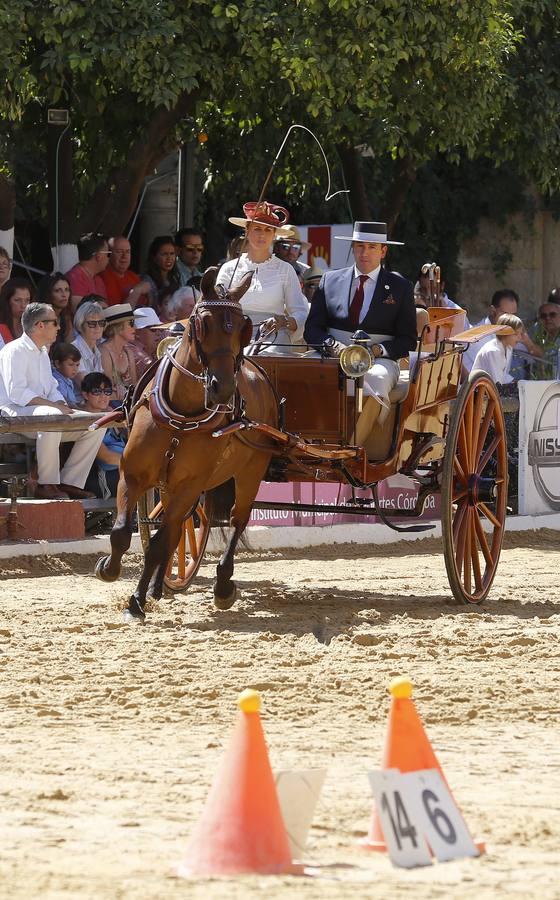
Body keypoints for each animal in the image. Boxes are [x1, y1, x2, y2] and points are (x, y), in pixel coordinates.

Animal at [94, 267, 279, 622]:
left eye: (242, 327)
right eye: (202, 323)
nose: (223, 387)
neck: (182, 415)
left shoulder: (190, 485)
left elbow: (157, 544)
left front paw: (135, 602)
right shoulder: (133, 475)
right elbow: (122, 533)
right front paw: (109, 569)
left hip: (250, 471)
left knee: (236, 520)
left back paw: (222, 586)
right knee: (178, 528)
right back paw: (160, 585)